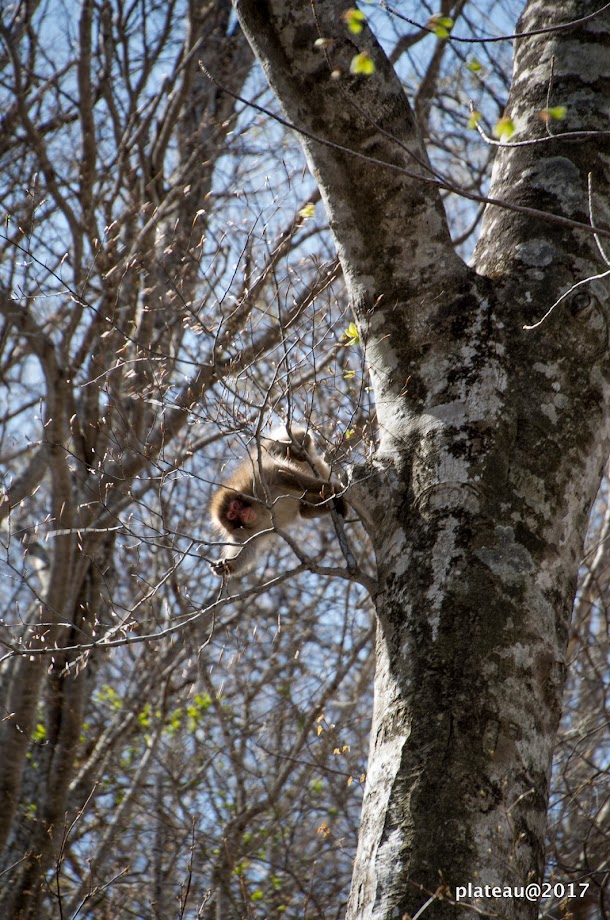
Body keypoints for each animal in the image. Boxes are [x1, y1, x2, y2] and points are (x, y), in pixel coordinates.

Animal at [209, 426, 344, 584]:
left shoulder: (255, 484)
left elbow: (280, 475)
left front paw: (329, 488)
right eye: (232, 515)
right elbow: (248, 547)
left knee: (278, 446)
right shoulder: (243, 531)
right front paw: (227, 566)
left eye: (235, 507)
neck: (259, 512)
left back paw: (300, 447)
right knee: (304, 511)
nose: (242, 514)